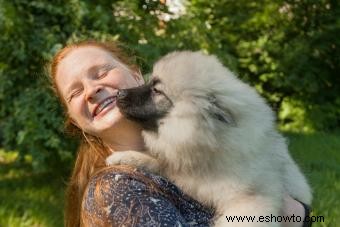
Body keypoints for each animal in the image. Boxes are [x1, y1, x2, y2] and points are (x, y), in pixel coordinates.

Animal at [106, 51, 310, 227]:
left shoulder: (250, 199)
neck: (212, 141)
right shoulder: (182, 171)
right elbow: (155, 162)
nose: (119, 93)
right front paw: (123, 157)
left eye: (157, 91)